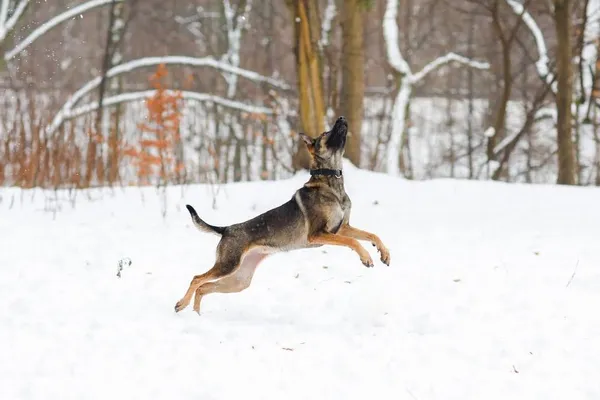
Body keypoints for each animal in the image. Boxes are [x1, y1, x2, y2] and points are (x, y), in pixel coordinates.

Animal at [175, 115, 390, 312]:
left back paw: (196, 315)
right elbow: (353, 242)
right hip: (228, 265)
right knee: (197, 279)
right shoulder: (319, 234)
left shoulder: (342, 228)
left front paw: (384, 253)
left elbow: (371, 235)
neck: (330, 183)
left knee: (204, 288)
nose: (342, 118)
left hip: (239, 280)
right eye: (325, 134)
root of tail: (226, 229)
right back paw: (182, 304)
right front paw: (366, 257)